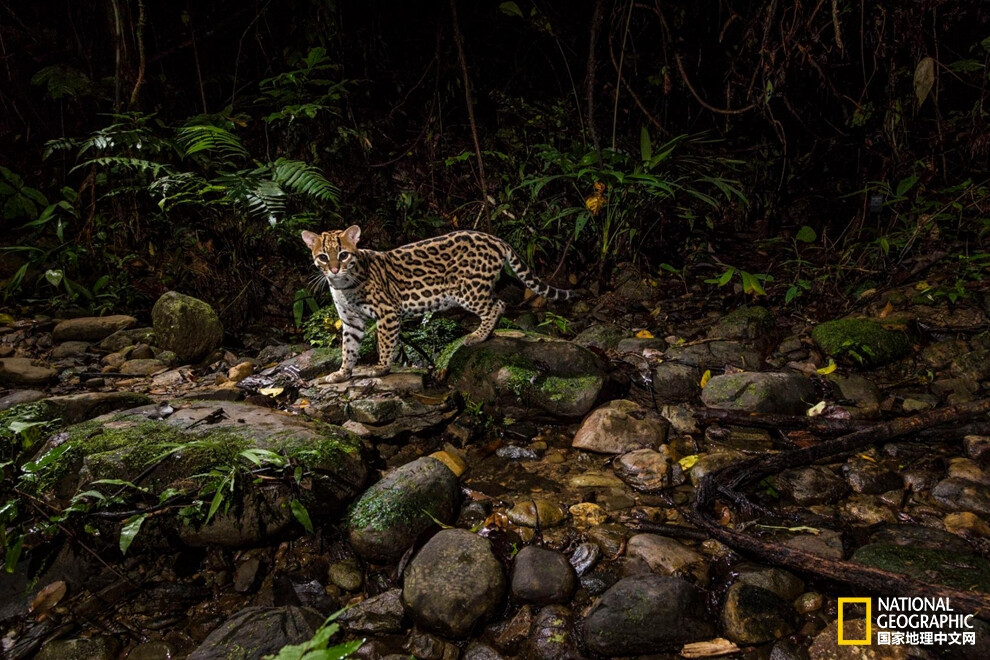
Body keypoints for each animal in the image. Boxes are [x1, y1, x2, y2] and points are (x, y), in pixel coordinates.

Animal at [302, 226, 572, 382]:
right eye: (323, 257)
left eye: (343, 254)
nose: (334, 269)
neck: (343, 285)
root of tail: (495, 238)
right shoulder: (351, 321)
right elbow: (348, 348)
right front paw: (342, 373)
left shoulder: (387, 313)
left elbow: (385, 344)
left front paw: (380, 368)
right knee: (498, 303)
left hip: (468, 290)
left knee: (497, 306)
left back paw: (477, 336)